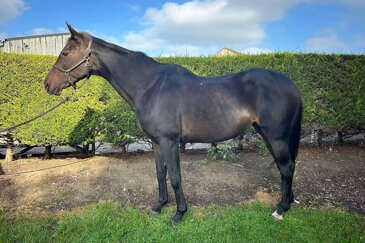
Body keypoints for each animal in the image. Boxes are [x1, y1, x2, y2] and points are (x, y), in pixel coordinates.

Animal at [44, 23, 302, 225]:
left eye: (65, 52)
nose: (47, 85)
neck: (150, 86)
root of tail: (291, 84)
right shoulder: (157, 143)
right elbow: (160, 174)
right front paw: (159, 206)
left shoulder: (170, 141)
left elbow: (176, 177)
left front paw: (178, 214)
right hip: (268, 136)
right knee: (286, 168)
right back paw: (287, 203)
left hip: (276, 137)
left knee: (286, 168)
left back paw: (280, 210)